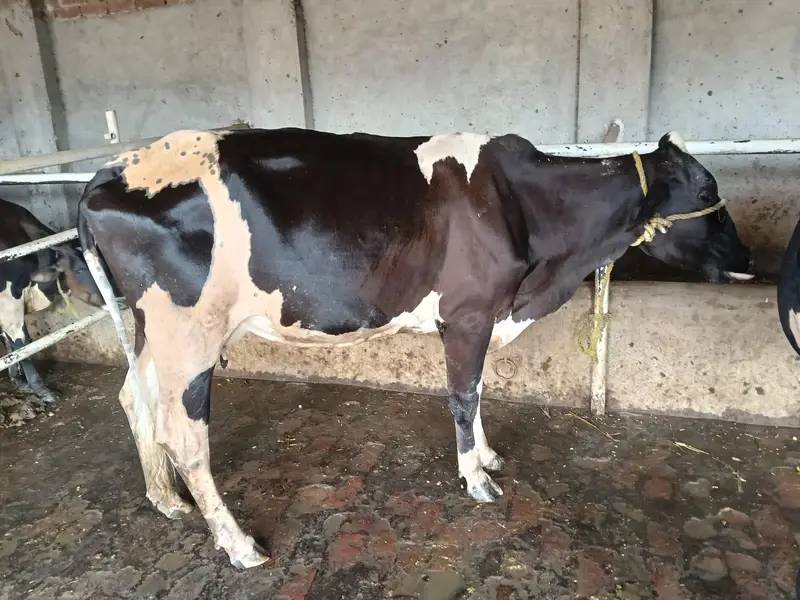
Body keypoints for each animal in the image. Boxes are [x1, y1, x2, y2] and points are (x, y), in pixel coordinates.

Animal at [72, 127, 753, 568]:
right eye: (705, 193)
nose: (749, 260)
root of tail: (112, 170)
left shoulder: (481, 317)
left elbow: (477, 392)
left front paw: (488, 456)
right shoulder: (470, 314)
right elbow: (463, 394)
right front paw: (476, 478)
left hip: (151, 330)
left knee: (134, 396)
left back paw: (165, 500)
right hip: (187, 331)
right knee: (184, 434)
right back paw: (239, 544)